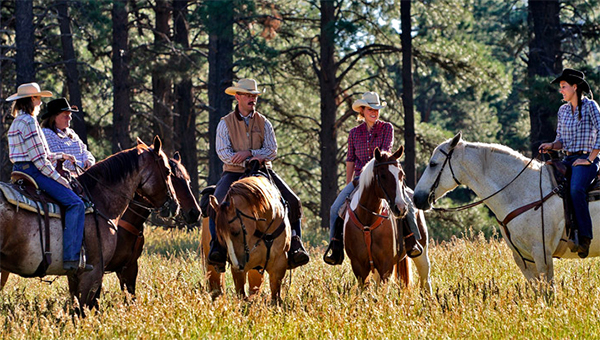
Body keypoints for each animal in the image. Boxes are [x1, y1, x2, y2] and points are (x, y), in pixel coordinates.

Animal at [342, 146, 432, 292]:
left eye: (402, 175)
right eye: (383, 175)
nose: (401, 208)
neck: (368, 220)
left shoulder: (386, 265)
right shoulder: (358, 267)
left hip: (421, 253)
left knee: (425, 278)